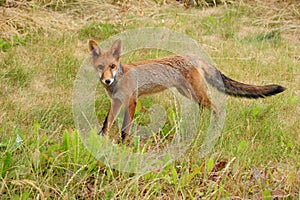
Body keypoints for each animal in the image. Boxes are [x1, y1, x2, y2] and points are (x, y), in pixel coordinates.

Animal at [87, 39, 286, 141]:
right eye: (100, 67)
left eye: (112, 66)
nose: (107, 80)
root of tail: (192, 56)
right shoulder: (115, 102)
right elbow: (106, 123)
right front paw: (100, 140)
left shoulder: (131, 100)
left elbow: (124, 128)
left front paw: (123, 145)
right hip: (189, 93)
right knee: (203, 109)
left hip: (198, 93)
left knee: (216, 108)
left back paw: (213, 129)